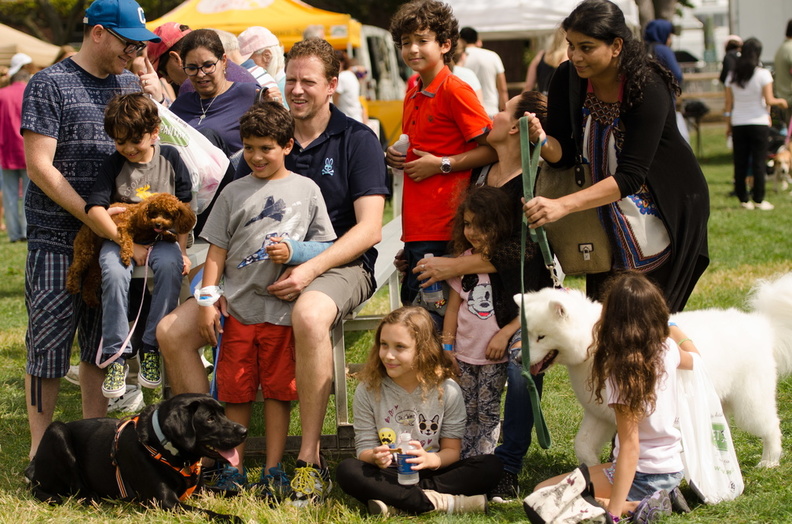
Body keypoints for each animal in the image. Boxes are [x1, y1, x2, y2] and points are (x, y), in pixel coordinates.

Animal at [26, 392, 246, 520]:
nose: (244, 431)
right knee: (77, 489)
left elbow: (237, 492)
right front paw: (232, 517)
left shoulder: (202, 491)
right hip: (56, 431)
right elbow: (206, 512)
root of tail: (33, 472)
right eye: (210, 419)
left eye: (223, 413)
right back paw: (92, 498)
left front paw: (256, 495)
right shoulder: (165, 502)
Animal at [516, 274, 792, 466]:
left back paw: (769, 461)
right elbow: (582, 444)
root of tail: (761, 324)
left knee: (771, 426)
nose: (518, 359)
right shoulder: (600, 414)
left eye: (541, 337)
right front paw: (592, 469)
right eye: (527, 335)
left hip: (750, 404)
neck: (592, 344)